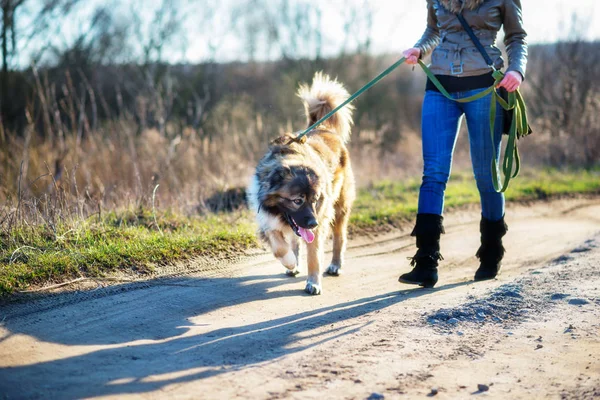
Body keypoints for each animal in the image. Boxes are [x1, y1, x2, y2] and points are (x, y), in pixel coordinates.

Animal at [246, 72, 354, 294]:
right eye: (297, 200)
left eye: (315, 200)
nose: (312, 222)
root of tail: (323, 127)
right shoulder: (268, 221)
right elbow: (280, 247)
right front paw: (290, 262)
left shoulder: (319, 221)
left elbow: (314, 255)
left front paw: (313, 282)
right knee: (296, 240)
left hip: (339, 207)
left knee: (339, 237)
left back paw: (335, 265)